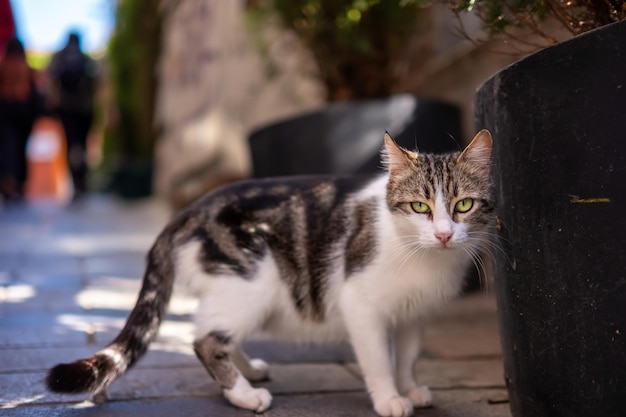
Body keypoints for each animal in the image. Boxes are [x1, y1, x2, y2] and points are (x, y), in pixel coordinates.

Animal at [45, 128, 492, 414]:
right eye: (419, 206)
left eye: (463, 205)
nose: (444, 234)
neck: (423, 257)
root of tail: (190, 211)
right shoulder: (361, 304)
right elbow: (379, 358)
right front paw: (389, 399)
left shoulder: (415, 314)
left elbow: (408, 357)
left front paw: (411, 388)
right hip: (251, 281)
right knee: (204, 340)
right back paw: (244, 396)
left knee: (212, 328)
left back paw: (249, 370)